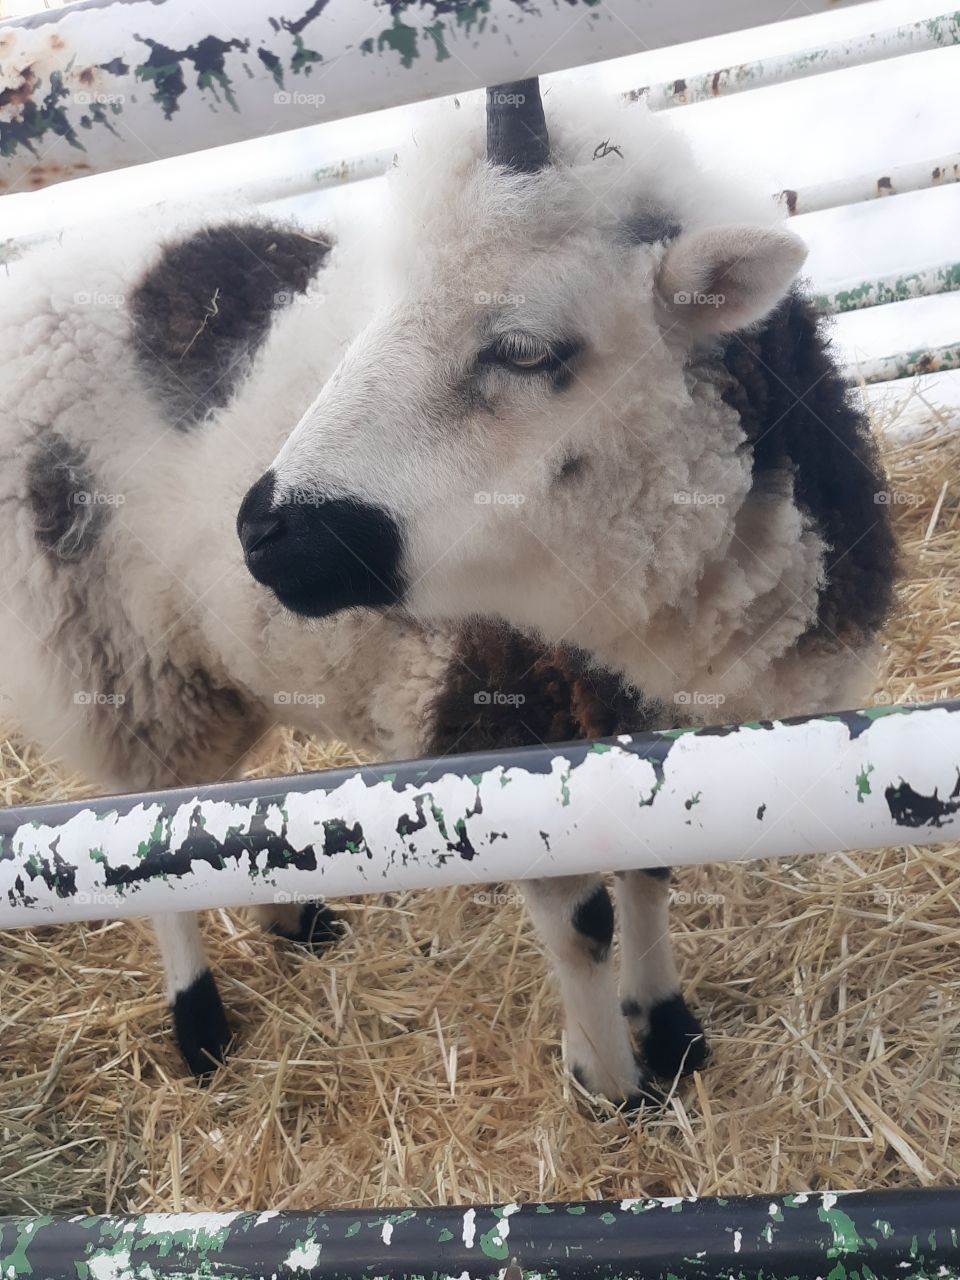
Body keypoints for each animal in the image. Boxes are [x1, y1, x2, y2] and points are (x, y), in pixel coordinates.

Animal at [0, 77, 896, 1111]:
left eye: (523, 348)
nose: (262, 533)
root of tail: (46, 265)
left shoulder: (647, 730)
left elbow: (651, 868)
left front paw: (669, 1031)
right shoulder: (499, 720)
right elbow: (582, 918)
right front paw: (611, 1082)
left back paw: (288, 919)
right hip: (118, 656)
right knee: (139, 820)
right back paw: (200, 1025)